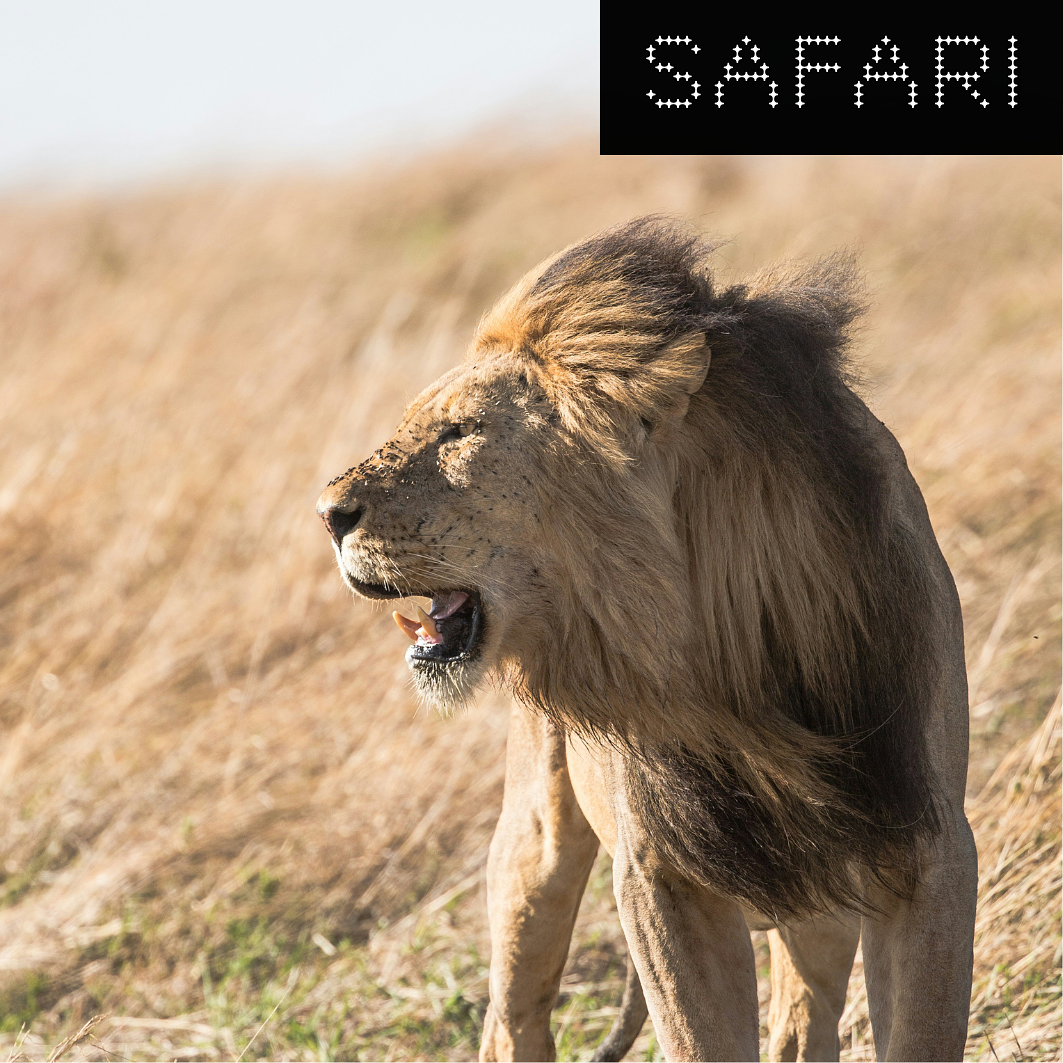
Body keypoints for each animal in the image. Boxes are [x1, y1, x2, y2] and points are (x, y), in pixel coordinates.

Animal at [316, 219, 977, 1062]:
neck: (733, 656)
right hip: (535, 843)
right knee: (513, 1010)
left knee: (801, 1021)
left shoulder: (923, 843)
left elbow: (919, 1027)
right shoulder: (661, 876)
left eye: (458, 432)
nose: (327, 514)